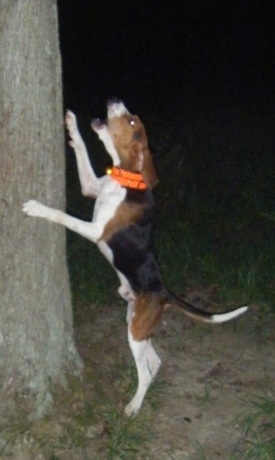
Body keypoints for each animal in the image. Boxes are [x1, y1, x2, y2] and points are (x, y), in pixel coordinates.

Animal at [22, 99, 249, 416]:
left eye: (132, 122)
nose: (114, 99)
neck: (125, 180)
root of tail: (164, 292)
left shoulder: (96, 231)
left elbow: (63, 215)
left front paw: (38, 208)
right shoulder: (91, 186)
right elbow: (82, 151)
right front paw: (71, 124)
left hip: (136, 329)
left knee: (146, 372)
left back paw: (134, 406)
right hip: (135, 322)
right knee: (155, 363)